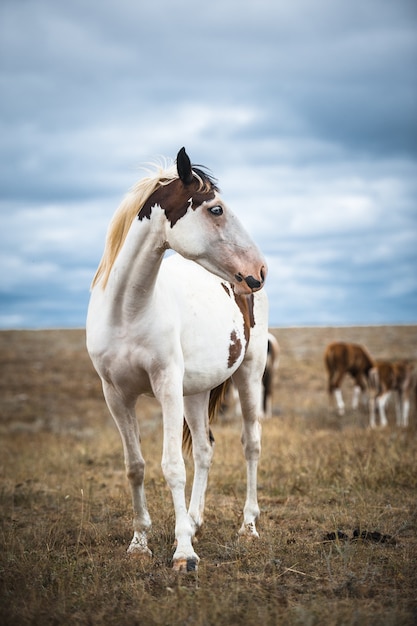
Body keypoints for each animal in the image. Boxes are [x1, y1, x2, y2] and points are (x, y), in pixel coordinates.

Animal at [86, 147, 268, 572]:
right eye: (216, 209)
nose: (259, 270)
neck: (128, 311)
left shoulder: (166, 385)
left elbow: (171, 466)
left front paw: (183, 552)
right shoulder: (116, 395)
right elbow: (135, 466)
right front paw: (140, 542)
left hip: (249, 374)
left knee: (250, 444)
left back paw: (247, 526)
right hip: (195, 393)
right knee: (204, 449)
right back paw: (196, 519)